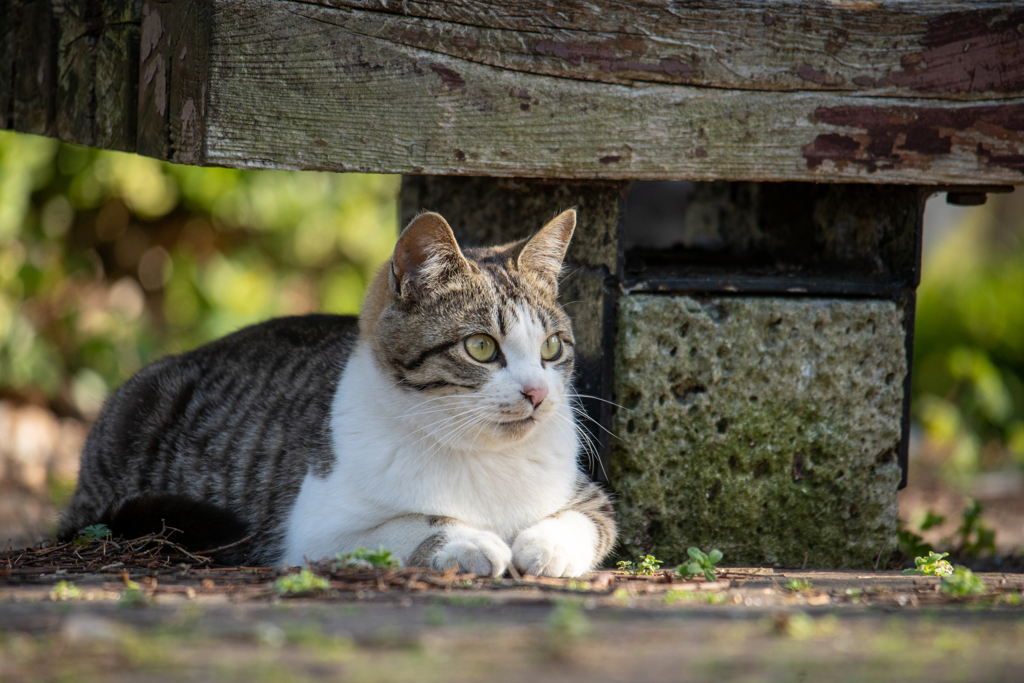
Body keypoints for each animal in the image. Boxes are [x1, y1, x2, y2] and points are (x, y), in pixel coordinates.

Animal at [59, 208, 614, 577]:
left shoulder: (589, 496)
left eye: (551, 347)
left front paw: (545, 548)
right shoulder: (314, 532)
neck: (484, 458)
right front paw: (468, 543)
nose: (538, 393)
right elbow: (413, 522)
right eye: (481, 347)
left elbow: (586, 521)